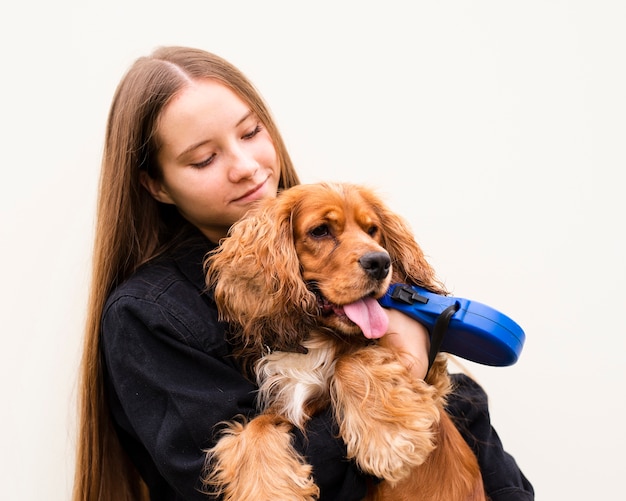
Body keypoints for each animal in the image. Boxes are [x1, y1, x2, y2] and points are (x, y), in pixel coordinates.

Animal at [202, 182, 486, 498]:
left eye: (372, 229)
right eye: (320, 231)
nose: (381, 262)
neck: (318, 337)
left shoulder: (432, 372)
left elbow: (350, 361)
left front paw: (388, 439)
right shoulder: (289, 406)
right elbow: (255, 428)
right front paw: (266, 491)